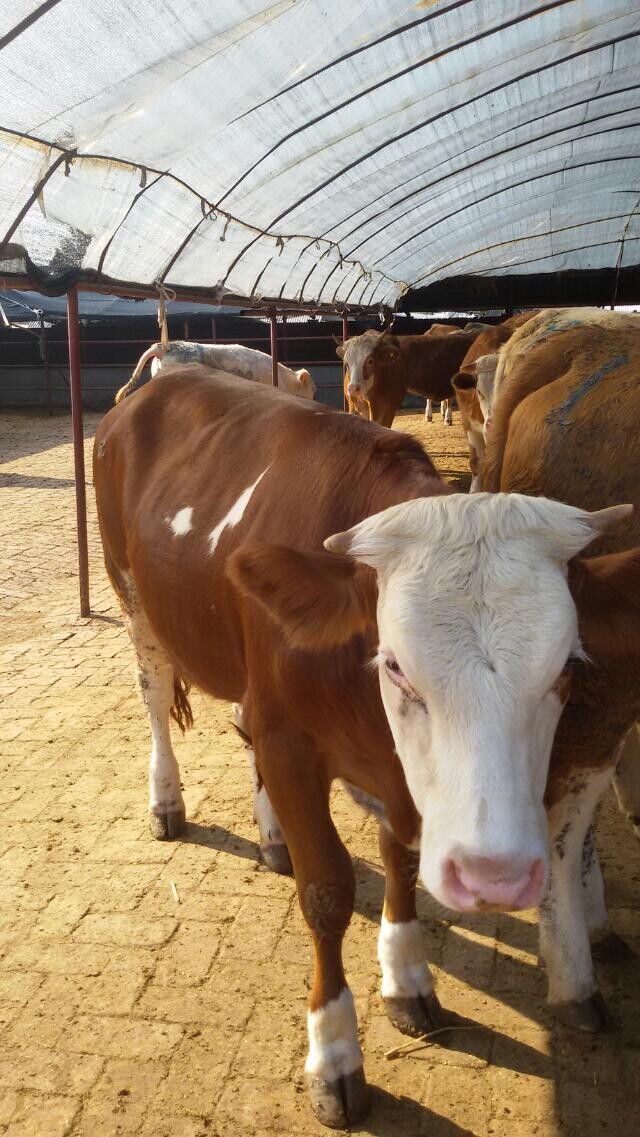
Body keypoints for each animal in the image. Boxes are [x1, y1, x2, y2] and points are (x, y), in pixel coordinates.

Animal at [92, 366, 636, 1127]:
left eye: (566, 666)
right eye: (397, 664)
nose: (495, 876)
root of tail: (154, 387)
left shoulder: (386, 773)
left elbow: (401, 861)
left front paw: (407, 980)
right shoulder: (292, 746)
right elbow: (326, 892)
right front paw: (335, 1056)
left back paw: (272, 836)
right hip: (133, 596)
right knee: (152, 696)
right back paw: (166, 801)